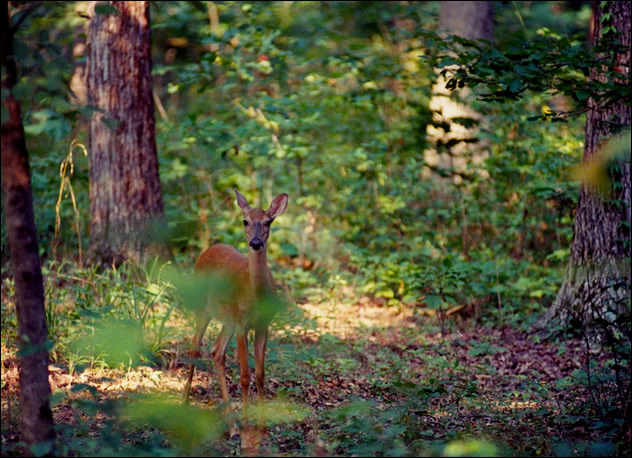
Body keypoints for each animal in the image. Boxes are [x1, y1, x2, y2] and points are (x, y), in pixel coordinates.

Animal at [181, 191, 288, 448]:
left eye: (268, 222)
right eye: (245, 221)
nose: (256, 243)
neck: (255, 294)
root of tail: (206, 251)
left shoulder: (263, 326)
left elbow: (260, 374)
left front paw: (261, 429)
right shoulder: (242, 325)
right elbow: (244, 376)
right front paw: (248, 434)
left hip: (227, 319)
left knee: (216, 351)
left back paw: (232, 427)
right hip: (203, 308)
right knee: (195, 347)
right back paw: (185, 406)